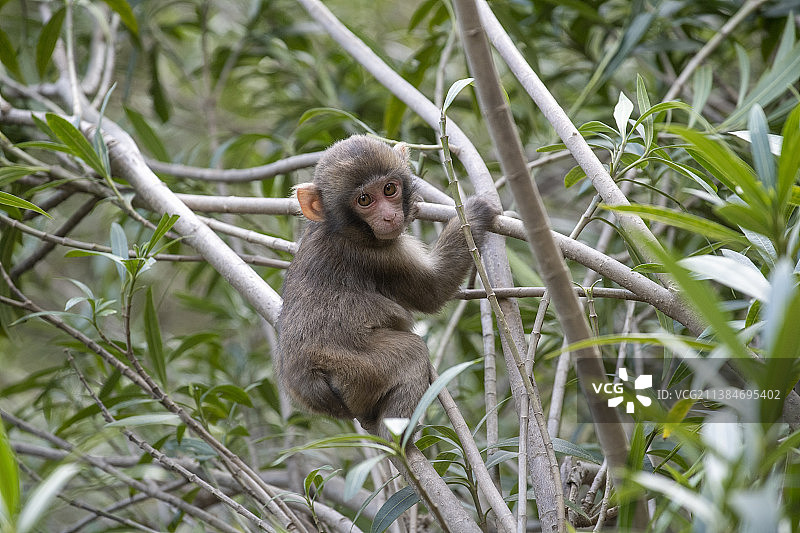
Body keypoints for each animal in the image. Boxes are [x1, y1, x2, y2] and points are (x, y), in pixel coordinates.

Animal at [278, 135, 496, 438]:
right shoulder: (386, 256)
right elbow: (433, 290)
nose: (389, 217)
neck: (341, 229)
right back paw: (398, 437)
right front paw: (475, 213)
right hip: (358, 370)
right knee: (411, 352)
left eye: (389, 189)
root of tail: (311, 380)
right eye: (364, 200)